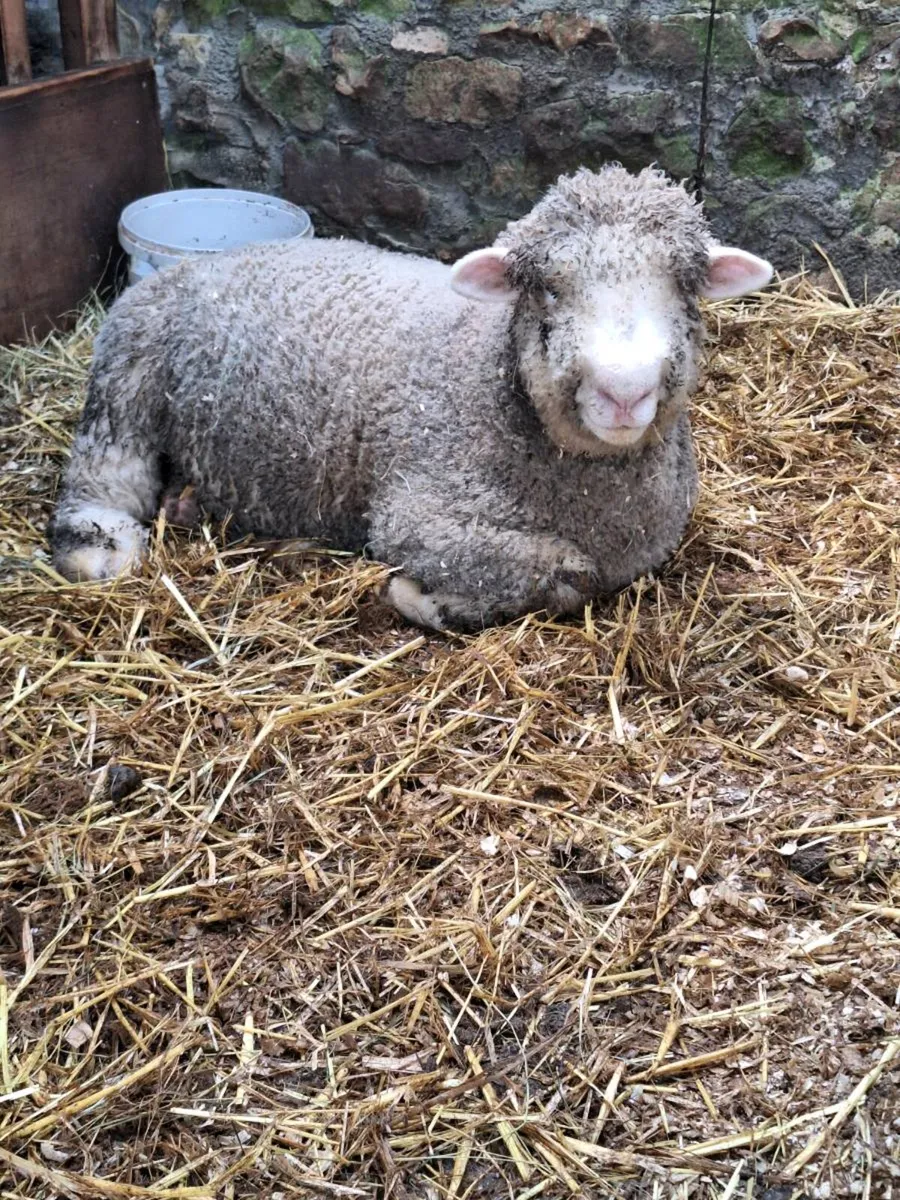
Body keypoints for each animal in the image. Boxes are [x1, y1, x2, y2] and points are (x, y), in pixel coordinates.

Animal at [47, 164, 772, 631]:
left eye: (685, 288)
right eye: (548, 289)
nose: (625, 390)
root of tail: (206, 265)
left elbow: (573, 574)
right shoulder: (417, 514)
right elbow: (570, 572)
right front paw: (420, 598)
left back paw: (187, 504)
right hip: (127, 368)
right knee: (104, 468)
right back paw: (100, 546)